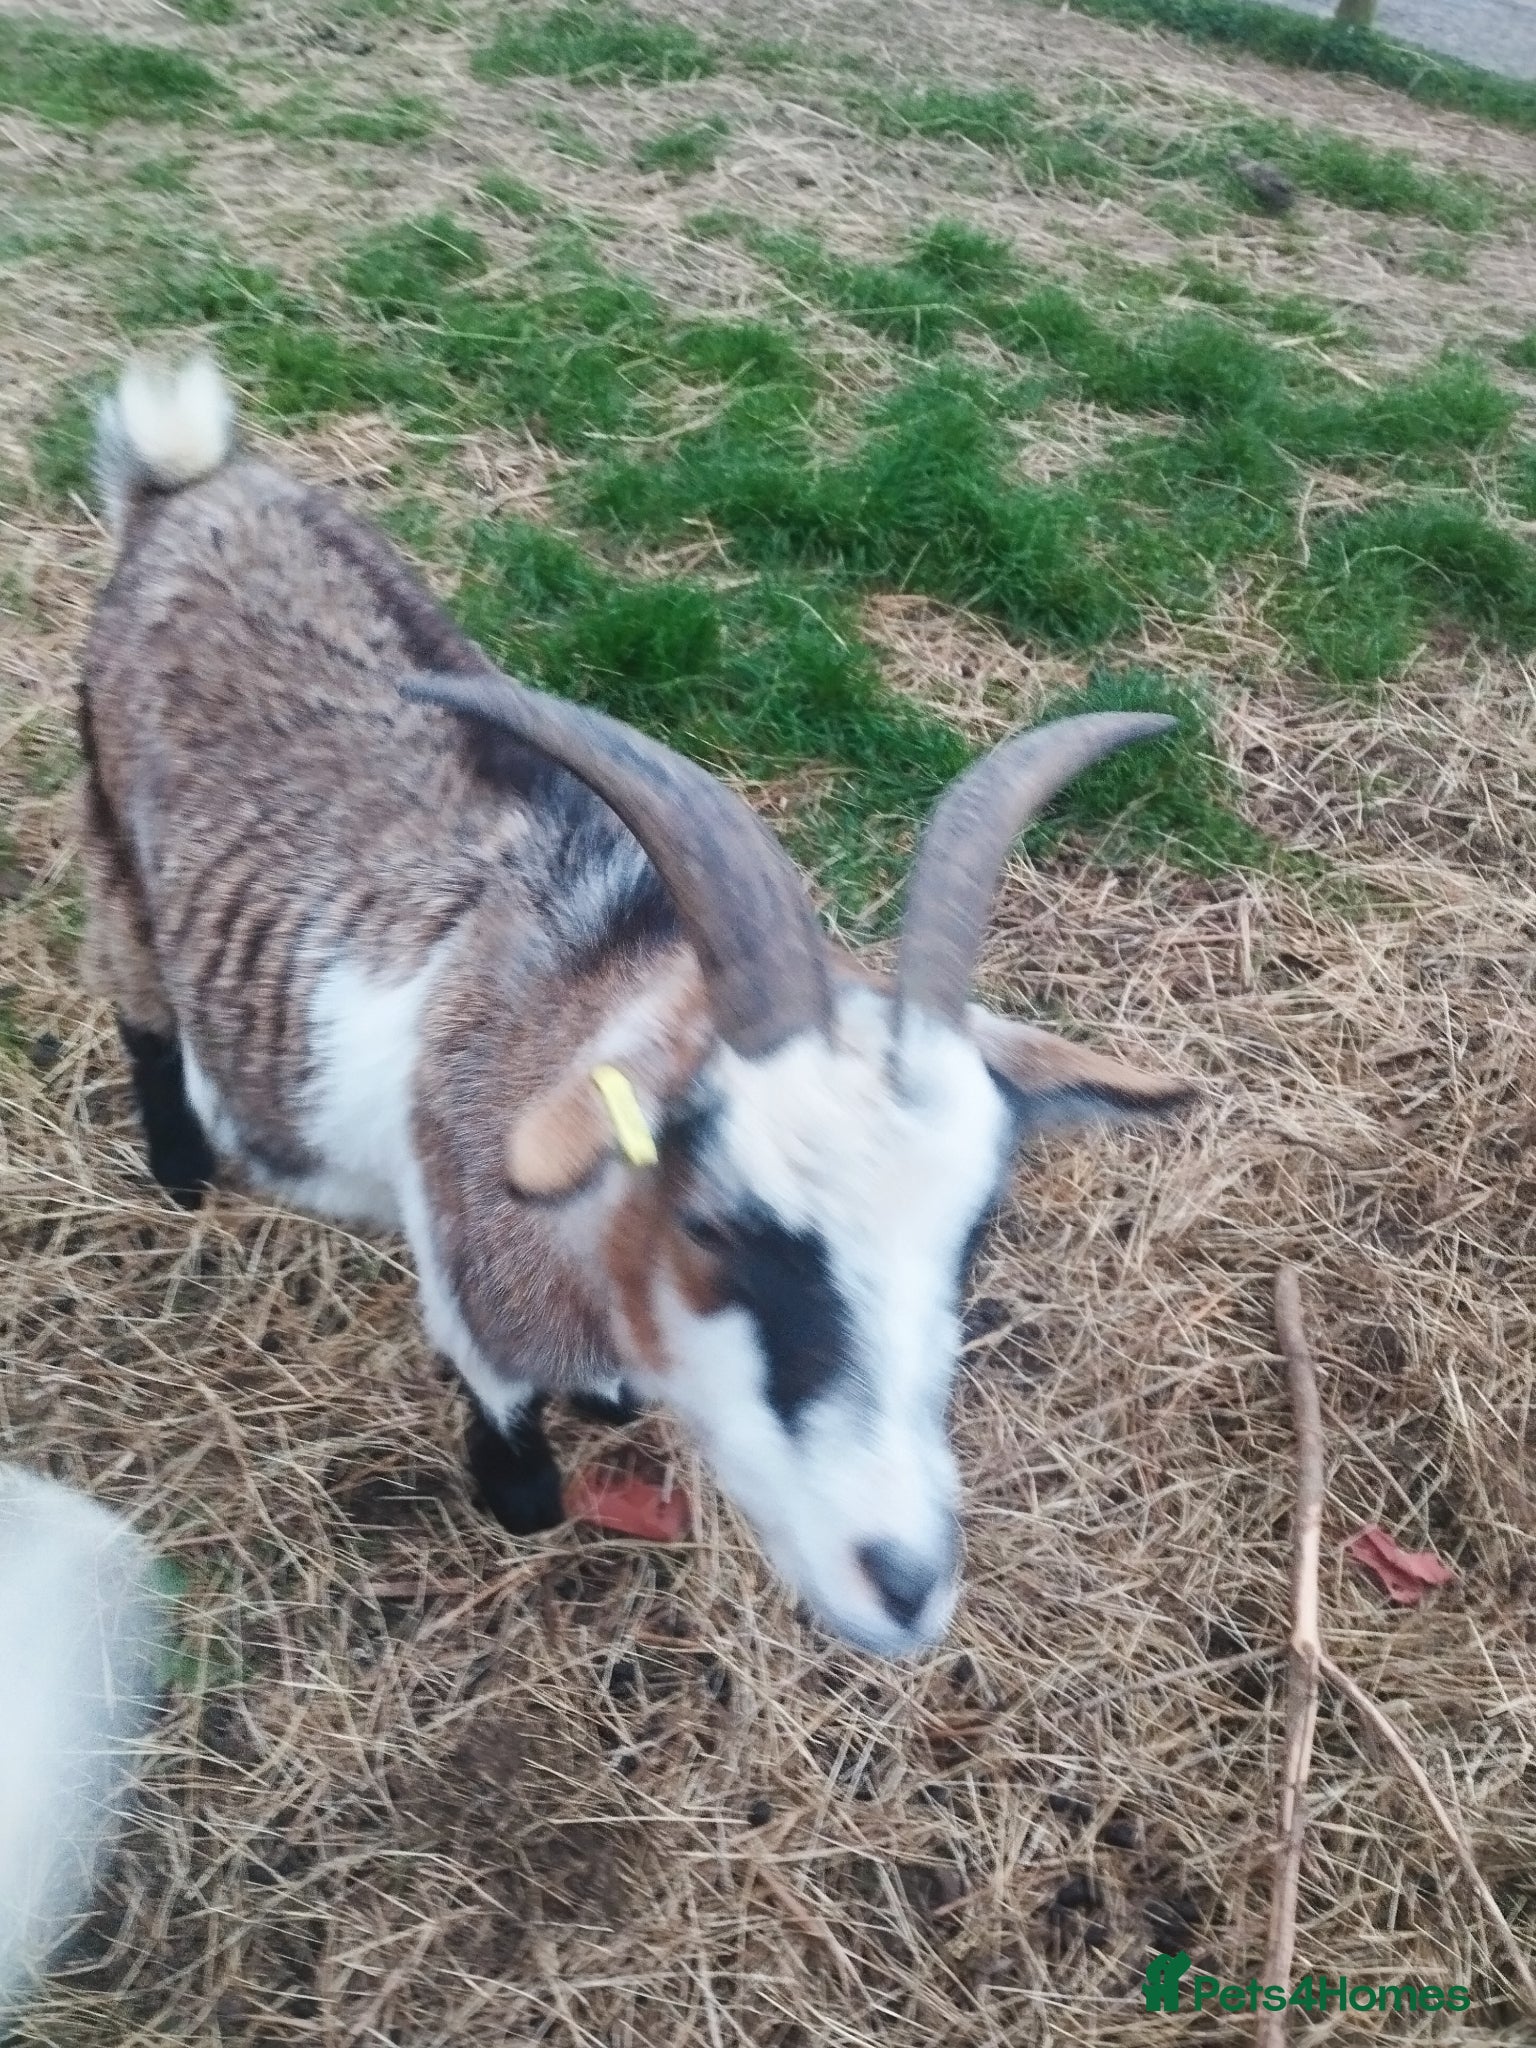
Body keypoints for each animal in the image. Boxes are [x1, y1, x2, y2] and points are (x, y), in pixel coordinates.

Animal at [80, 356, 1195, 1656]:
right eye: (718, 1225)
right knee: (142, 1001)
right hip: (110, 836)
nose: (906, 1583)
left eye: (977, 1232)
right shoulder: (477, 1296)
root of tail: (191, 483)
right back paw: (180, 1170)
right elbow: (515, 1453)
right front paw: (522, 1488)